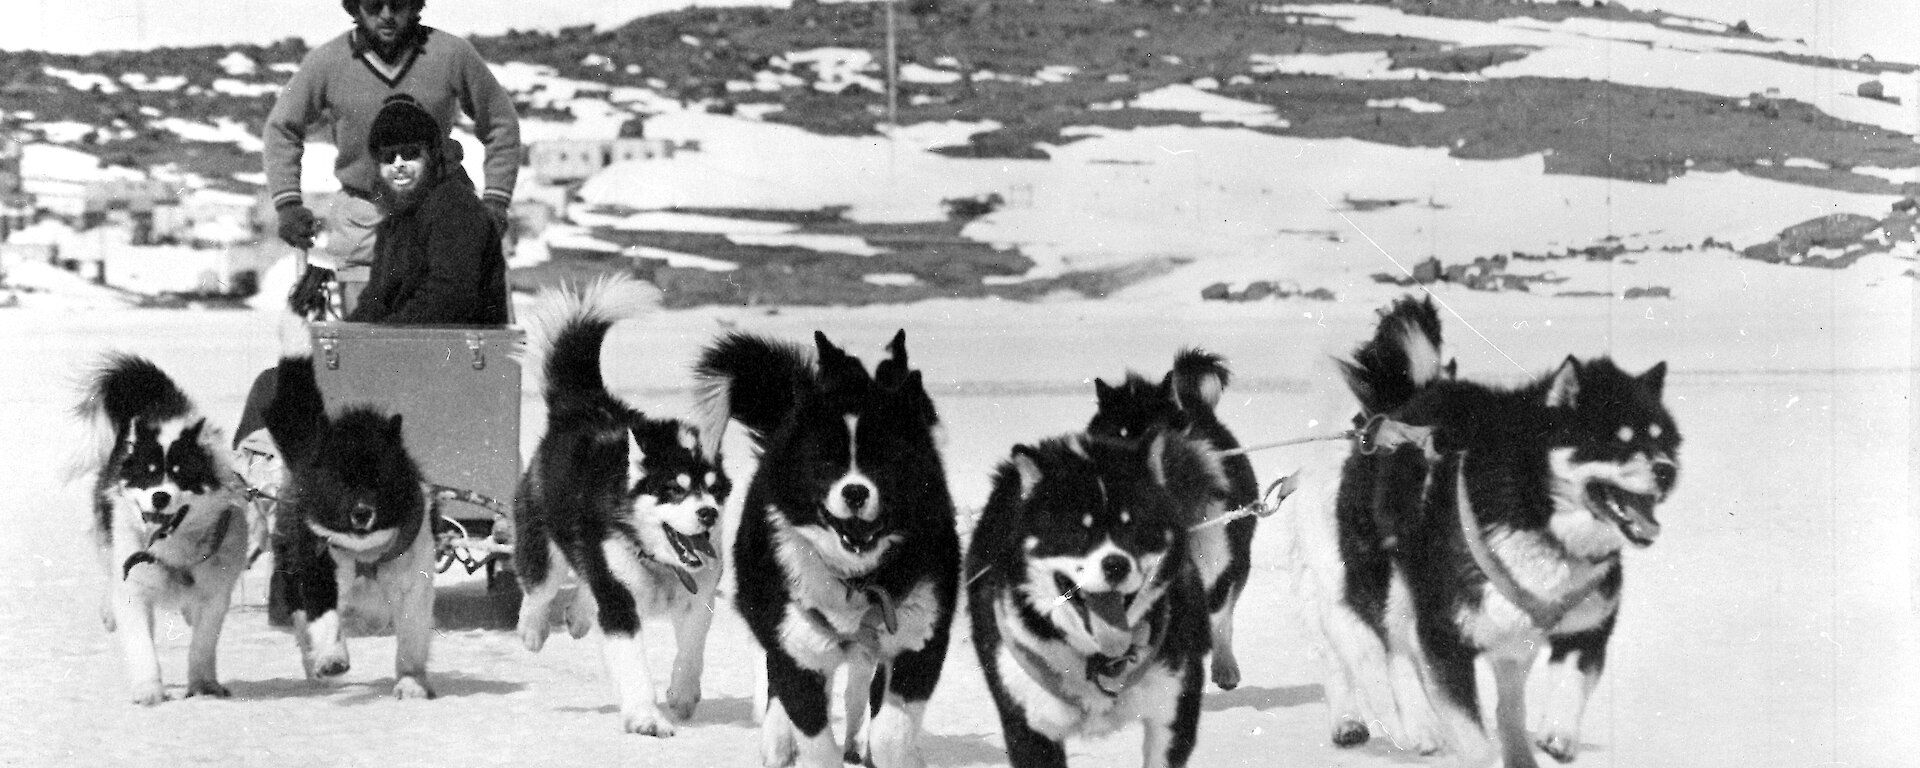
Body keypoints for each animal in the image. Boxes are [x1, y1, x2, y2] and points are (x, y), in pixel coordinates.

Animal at [77, 353, 247, 702]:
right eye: (148, 473)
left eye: (182, 475)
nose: (160, 496)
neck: (173, 549)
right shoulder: (134, 585)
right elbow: (140, 641)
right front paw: (149, 690)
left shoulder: (214, 590)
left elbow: (203, 641)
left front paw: (204, 685)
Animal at [514, 278, 729, 737]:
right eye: (674, 490)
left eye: (713, 490)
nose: (708, 514)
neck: (656, 561)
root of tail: (583, 405)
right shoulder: (619, 604)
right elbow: (632, 666)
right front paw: (646, 717)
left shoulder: (699, 597)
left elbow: (692, 649)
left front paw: (682, 694)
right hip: (544, 539)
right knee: (540, 587)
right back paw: (532, 628)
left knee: (583, 582)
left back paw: (577, 616)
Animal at [1290, 295, 1681, 768]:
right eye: (1616, 441)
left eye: (1663, 440)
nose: (1667, 470)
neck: (1535, 515)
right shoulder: (1444, 635)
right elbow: (1468, 730)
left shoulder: (1585, 626)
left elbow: (1570, 681)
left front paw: (1559, 734)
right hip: (1383, 586)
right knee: (1390, 655)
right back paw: (1417, 726)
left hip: (1507, 636)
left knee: (1505, 702)